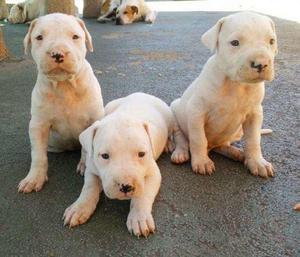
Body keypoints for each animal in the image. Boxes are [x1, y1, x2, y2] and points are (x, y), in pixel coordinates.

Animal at [18, 12, 104, 192]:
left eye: (75, 37)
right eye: (39, 37)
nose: (57, 53)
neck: (65, 85)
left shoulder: (94, 119)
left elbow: (87, 149)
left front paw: (85, 165)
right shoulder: (38, 125)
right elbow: (38, 154)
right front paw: (34, 178)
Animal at [63, 92, 176, 236]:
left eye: (141, 154)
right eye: (105, 156)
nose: (126, 186)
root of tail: (141, 93)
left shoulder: (153, 174)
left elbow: (143, 195)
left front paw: (139, 218)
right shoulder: (92, 170)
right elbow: (89, 188)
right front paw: (79, 208)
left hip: (169, 118)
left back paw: (168, 144)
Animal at [170, 11, 278, 176]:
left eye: (271, 41)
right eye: (235, 43)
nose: (261, 64)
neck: (236, 84)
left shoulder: (255, 114)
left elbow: (253, 140)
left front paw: (257, 162)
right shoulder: (196, 111)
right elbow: (198, 139)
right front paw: (201, 161)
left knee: (222, 145)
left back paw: (237, 153)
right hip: (175, 109)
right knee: (181, 137)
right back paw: (180, 153)